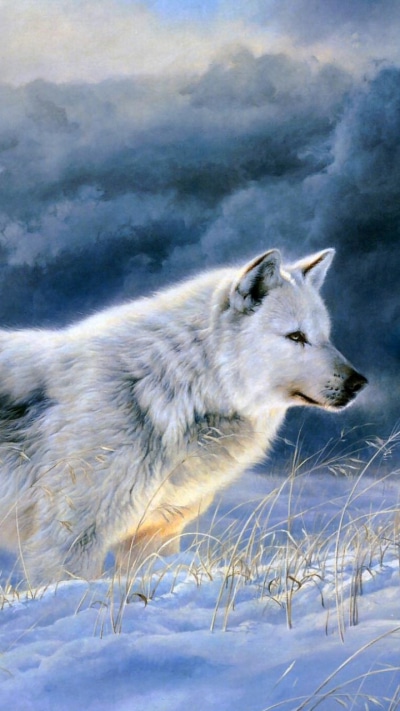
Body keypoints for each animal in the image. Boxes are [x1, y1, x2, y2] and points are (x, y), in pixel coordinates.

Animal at [0, 248, 367, 584]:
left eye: (325, 336)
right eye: (296, 336)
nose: (359, 383)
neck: (162, 390)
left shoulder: (155, 533)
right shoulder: (68, 541)